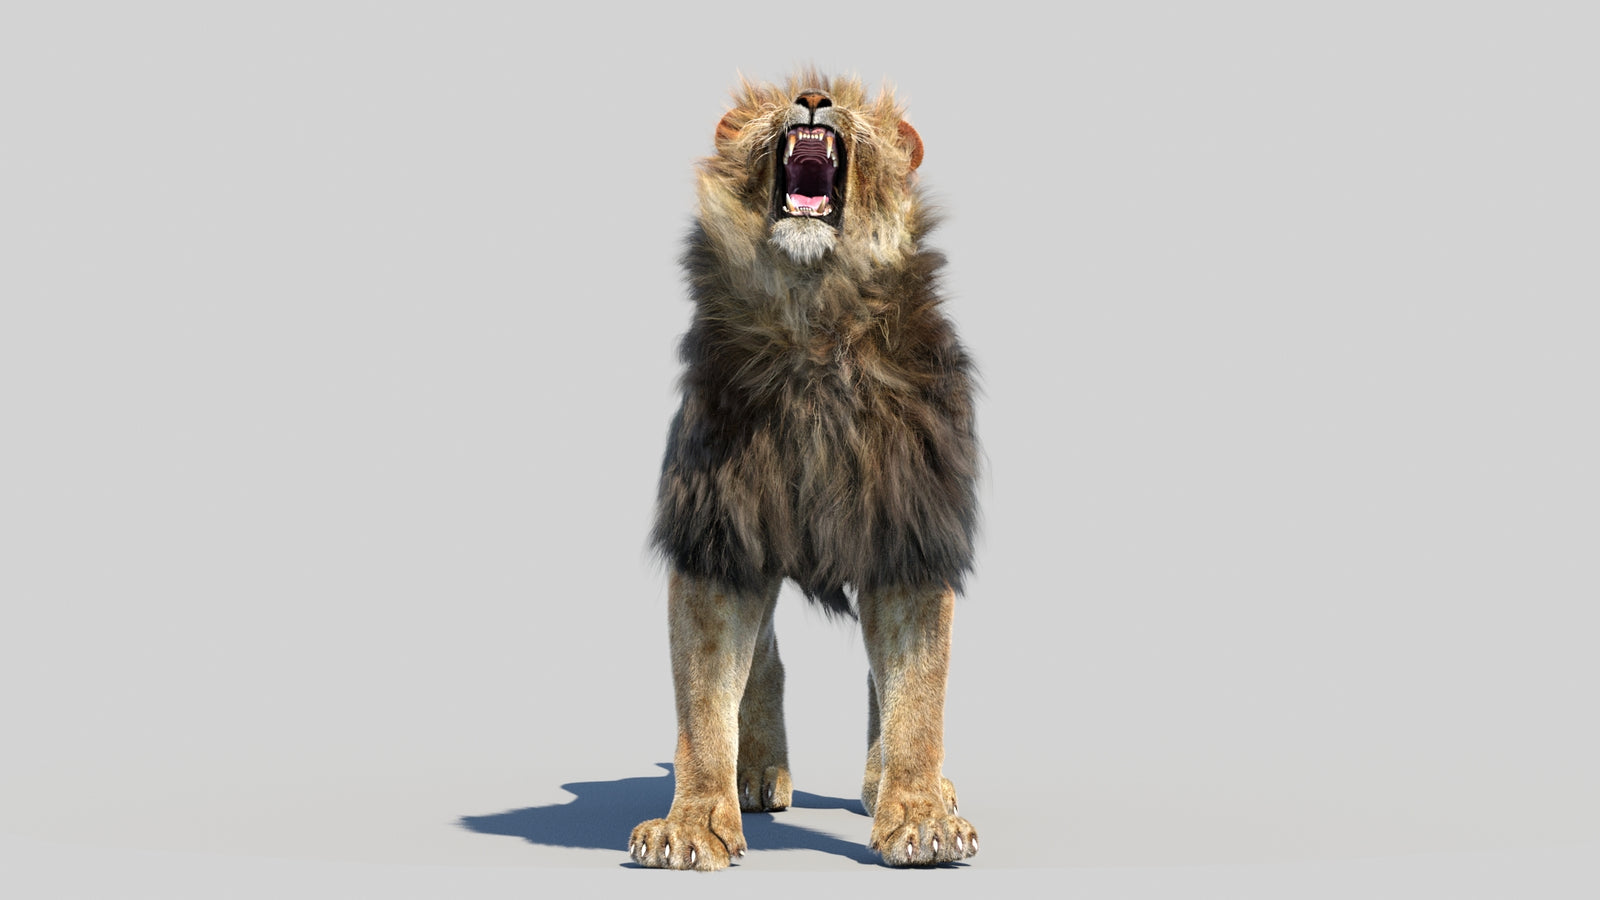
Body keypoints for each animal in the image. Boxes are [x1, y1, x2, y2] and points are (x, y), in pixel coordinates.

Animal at [628, 70, 980, 870]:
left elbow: (917, 693)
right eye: (776, 98)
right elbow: (704, 700)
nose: (815, 98)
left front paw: (919, 817)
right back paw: (756, 772)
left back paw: (893, 785)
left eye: (847, 99)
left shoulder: (909, 533)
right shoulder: (718, 535)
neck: (814, 312)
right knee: (763, 659)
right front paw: (693, 823)